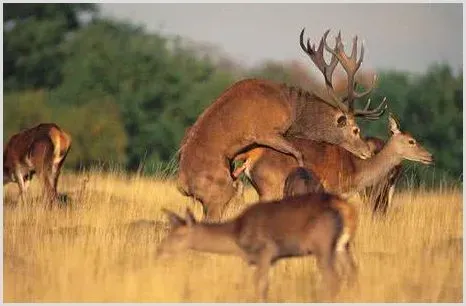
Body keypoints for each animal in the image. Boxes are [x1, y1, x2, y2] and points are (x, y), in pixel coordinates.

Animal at [158, 189, 358, 302]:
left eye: (179, 235)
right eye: (169, 231)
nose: (159, 251)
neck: (237, 237)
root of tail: (347, 209)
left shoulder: (266, 250)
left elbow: (258, 286)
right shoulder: (273, 259)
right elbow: (266, 286)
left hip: (322, 245)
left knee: (333, 279)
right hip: (343, 246)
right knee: (352, 275)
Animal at [177, 28, 386, 220]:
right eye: (356, 129)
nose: (367, 151)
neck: (292, 108)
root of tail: (183, 186)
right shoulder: (266, 132)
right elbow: (298, 153)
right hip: (218, 193)